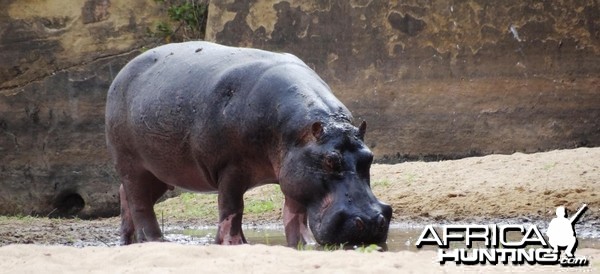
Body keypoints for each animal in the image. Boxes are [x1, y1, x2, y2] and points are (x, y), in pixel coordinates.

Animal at [105, 41, 392, 247]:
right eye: (330, 160)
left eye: (369, 157)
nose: (369, 221)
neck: (301, 133)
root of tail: (122, 72)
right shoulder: (230, 168)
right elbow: (232, 208)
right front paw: (234, 244)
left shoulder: (295, 171)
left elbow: (295, 214)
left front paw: (303, 245)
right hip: (132, 163)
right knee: (139, 201)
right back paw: (155, 240)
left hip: (161, 170)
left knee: (125, 193)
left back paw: (128, 241)